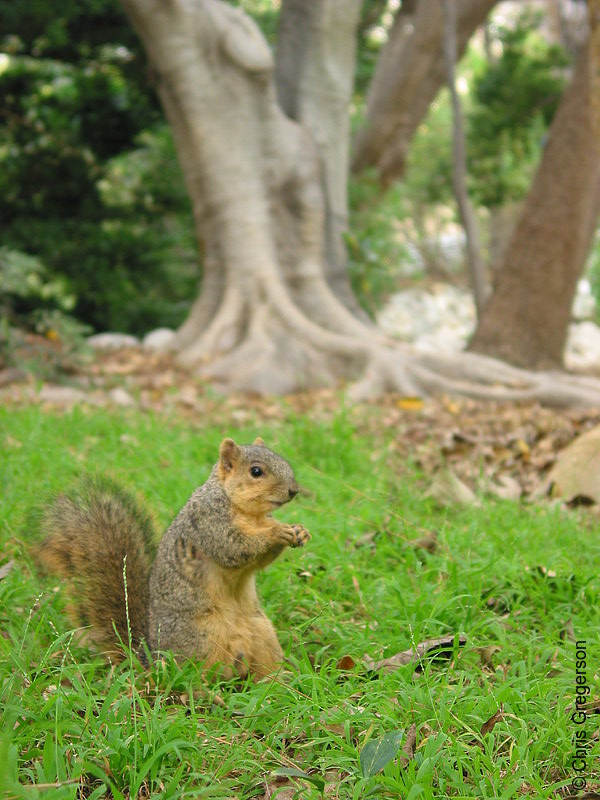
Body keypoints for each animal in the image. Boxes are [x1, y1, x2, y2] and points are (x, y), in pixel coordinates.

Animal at [36, 438, 310, 680]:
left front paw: (299, 531)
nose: (293, 491)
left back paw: (280, 678)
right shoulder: (209, 523)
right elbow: (233, 547)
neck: (250, 515)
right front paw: (278, 532)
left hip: (262, 633)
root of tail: (149, 655)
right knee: (195, 675)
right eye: (256, 471)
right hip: (202, 638)